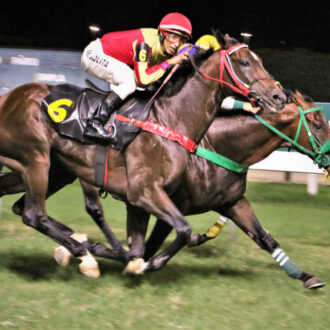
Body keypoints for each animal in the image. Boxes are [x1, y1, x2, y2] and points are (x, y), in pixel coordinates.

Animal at [0, 35, 286, 276]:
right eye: (245, 62)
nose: (279, 96)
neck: (171, 118)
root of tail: (9, 96)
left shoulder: (140, 200)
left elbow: (141, 246)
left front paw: (124, 256)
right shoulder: (144, 191)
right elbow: (183, 230)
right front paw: (142, 263)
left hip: (53, 170)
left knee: (21, 206)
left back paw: (80, 245)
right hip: (36, 160)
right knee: (34, 215)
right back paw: (84, 254)